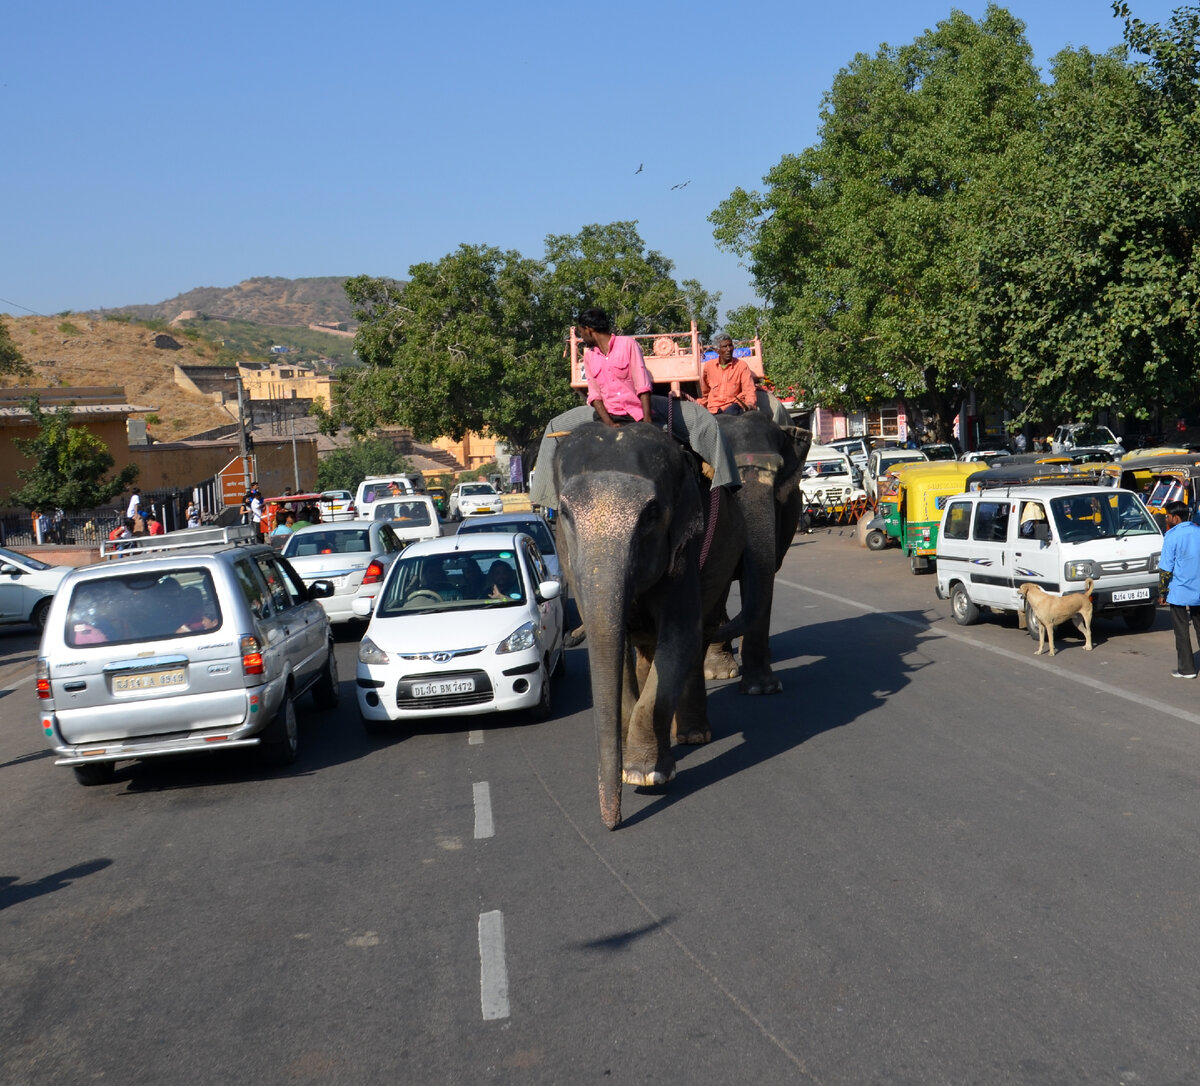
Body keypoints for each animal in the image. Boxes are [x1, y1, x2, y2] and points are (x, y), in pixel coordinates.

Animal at [556, 420, 744, 825]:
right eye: (563, 513)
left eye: (652, 514)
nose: (612, 822)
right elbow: (616, 646)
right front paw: (631, 766)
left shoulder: (685, 547)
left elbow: (679, 637)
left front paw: (645, 774)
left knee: (696, 635)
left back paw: (692, 735)